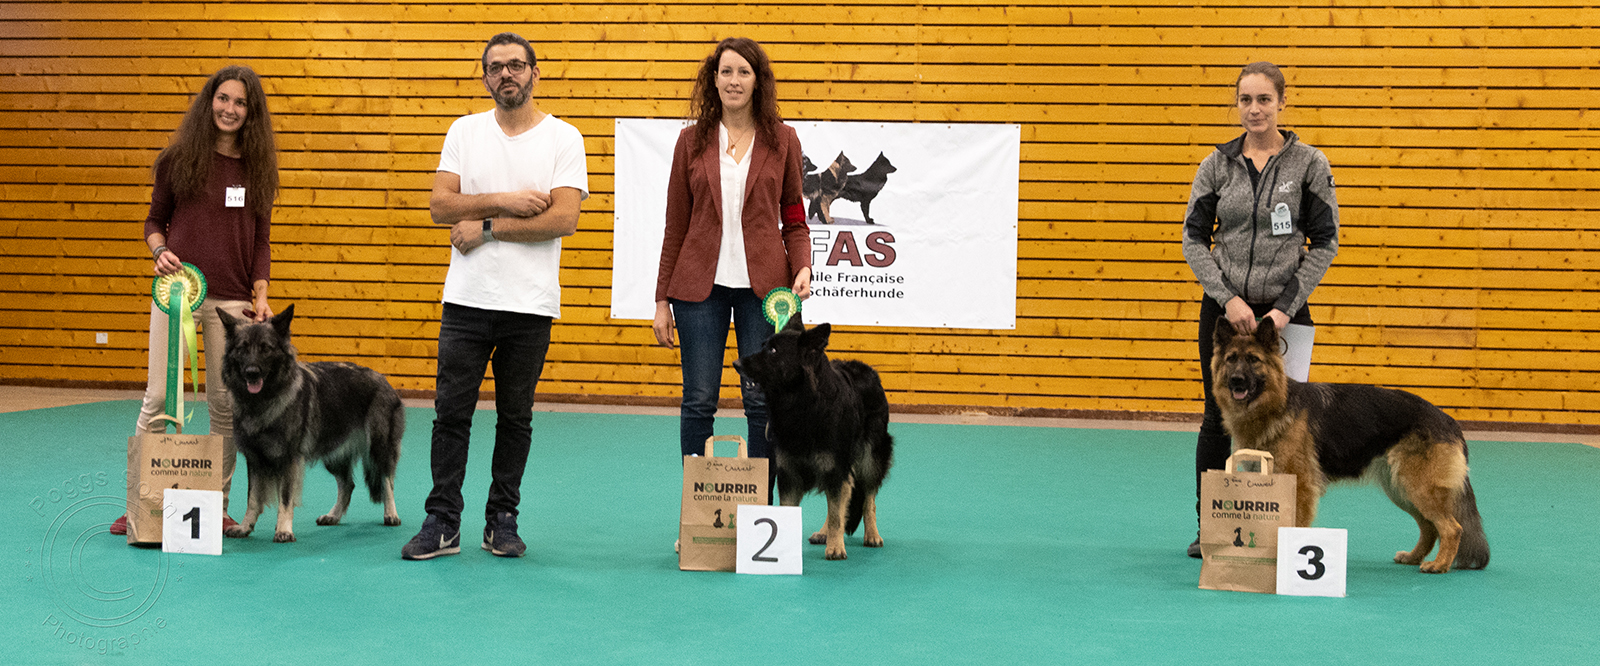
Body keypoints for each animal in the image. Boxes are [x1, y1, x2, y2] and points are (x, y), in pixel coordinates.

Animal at [216, 305, 404, 542]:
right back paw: (333, 516)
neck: (262, 400)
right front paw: (244, 527)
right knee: (347, 484)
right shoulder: (255, 459)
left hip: (378, 447)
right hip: (334, 455)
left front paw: (284, 529)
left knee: (387, 479)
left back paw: (391, 513)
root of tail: (384, 379)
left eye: (266, 349)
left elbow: (285, 497)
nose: (251, 372)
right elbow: (252, 498)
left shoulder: (288, 459)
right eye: (242, 349)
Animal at [734, 318, 894, 560]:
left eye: (773, 351)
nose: (736, 363)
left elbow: (837, 512)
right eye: (764, 346)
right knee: (846, 493)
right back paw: (824, 532)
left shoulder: (835, 468)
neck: (804, 405)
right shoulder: (790, 475)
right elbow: (796, 511)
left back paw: (872, 534)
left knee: (867, 498)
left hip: (869, 459)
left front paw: (836, 547)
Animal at [1213, 321, 1489, 573]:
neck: (1276, 405)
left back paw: (1439, 565)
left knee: (1452, 528)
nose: (1236, 380)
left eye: (1253, 360)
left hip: (1418, 488)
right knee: (1430, 527)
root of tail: (1449, 420)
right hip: (1401, 489)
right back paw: (1414, 557)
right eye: (1231, 359)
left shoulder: (1301, 487)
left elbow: (1294, 525)